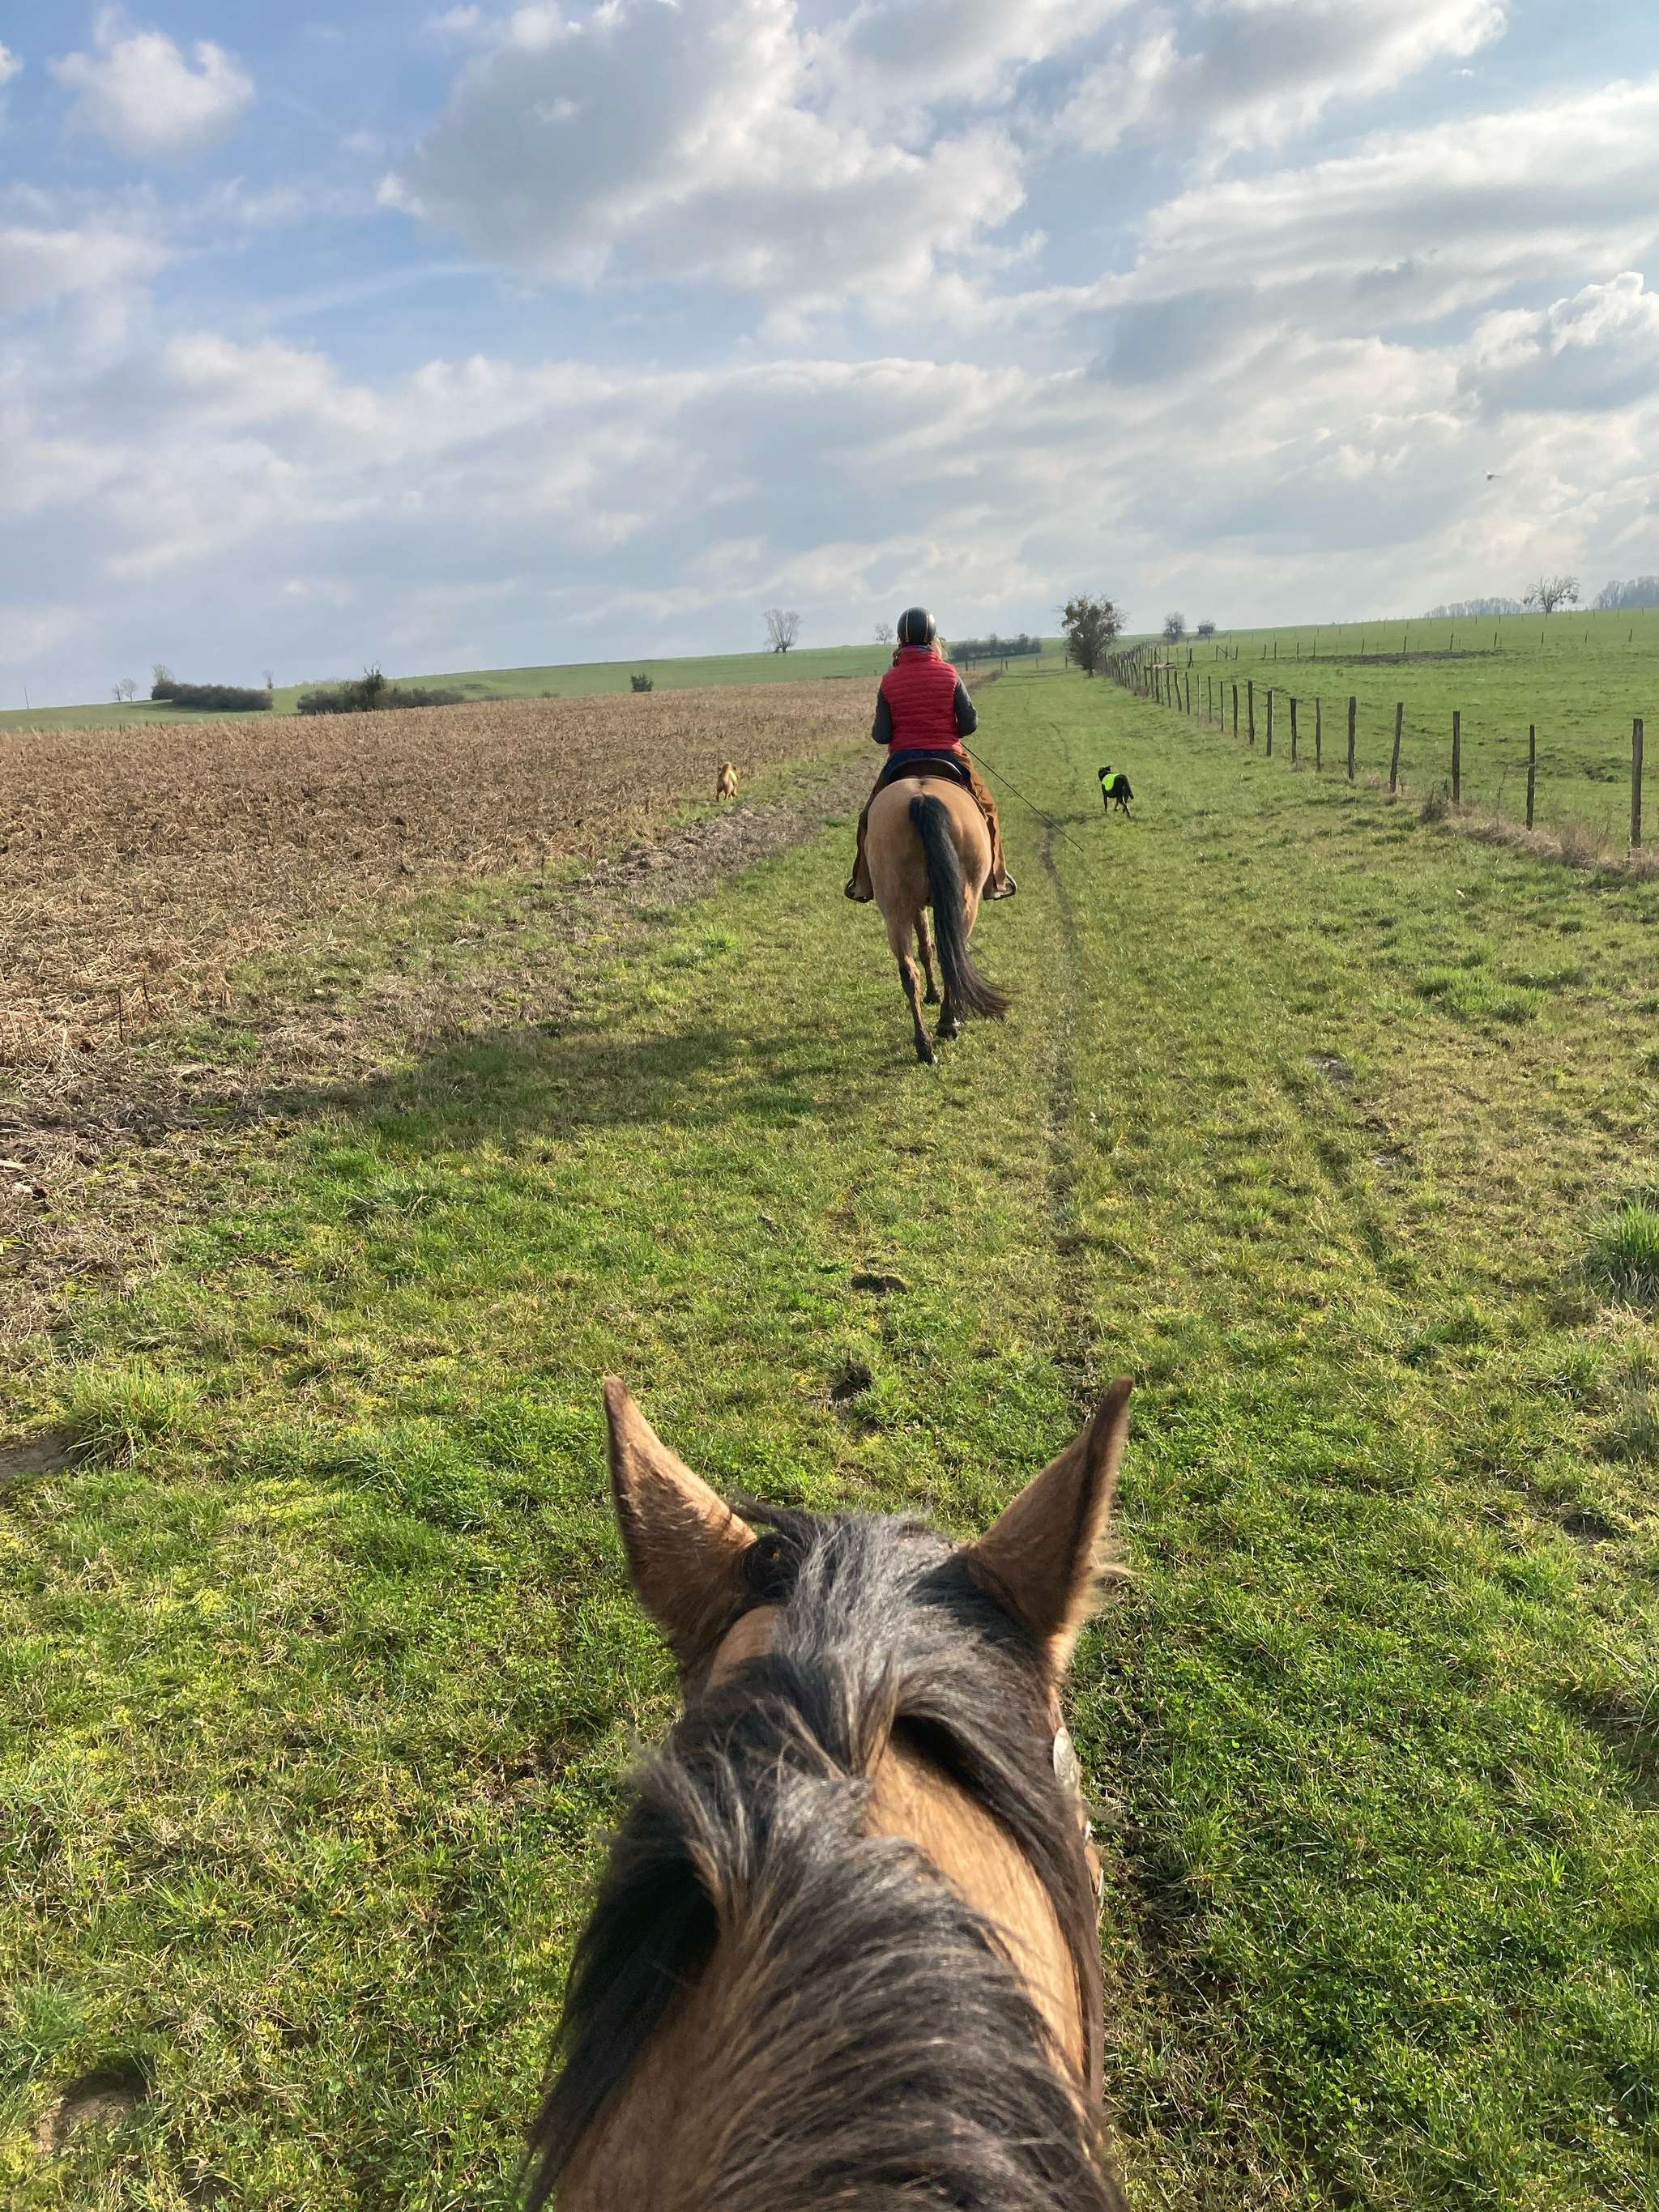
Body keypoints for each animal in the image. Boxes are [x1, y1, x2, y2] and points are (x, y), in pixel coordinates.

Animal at [867, 776, 1010, 1064]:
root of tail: (922, 799)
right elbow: (931, 948)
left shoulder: (915, 905)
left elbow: (926, 948)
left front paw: (932, 995)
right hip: (967, 901)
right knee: (951, 956)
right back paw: (947, 1023)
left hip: (896, 909)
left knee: (909, 971)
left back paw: (924, 1045)